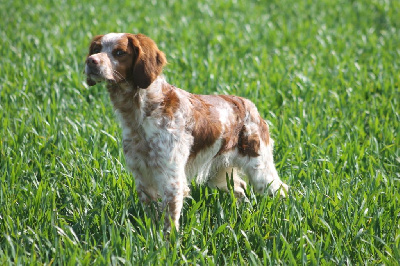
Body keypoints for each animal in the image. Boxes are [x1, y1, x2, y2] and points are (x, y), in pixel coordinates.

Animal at [85, 33, 288, 232]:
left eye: (119, 52)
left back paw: (284, 218)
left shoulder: (171, 178)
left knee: (281, 189)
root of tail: (249, 105)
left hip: (260, 170)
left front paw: (168, 242)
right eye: (96, 49)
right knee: (240, 189)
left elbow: (169, 224)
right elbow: (151, 218)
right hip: (218, 173)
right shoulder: (142, 176)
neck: (141, 112)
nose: (90, 61)